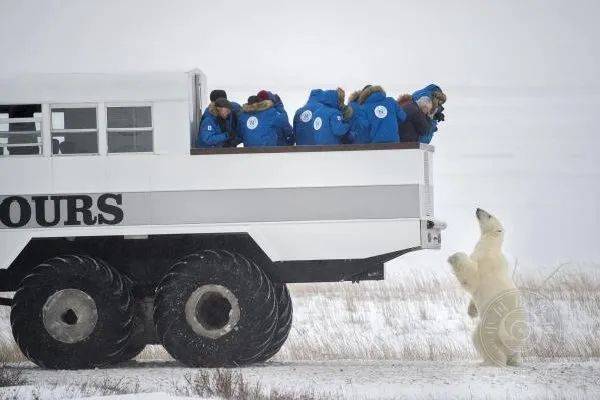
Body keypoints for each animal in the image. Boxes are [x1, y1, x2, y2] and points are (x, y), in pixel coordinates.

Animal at [448, 208, 528, 368]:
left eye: (489, 215)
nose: (478, 209)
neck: (491, 246)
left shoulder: (484, 262)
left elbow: (471, 276)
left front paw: (453, 257)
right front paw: (471, 311)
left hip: (492, 328)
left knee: (482, 340)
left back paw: (488, 362)